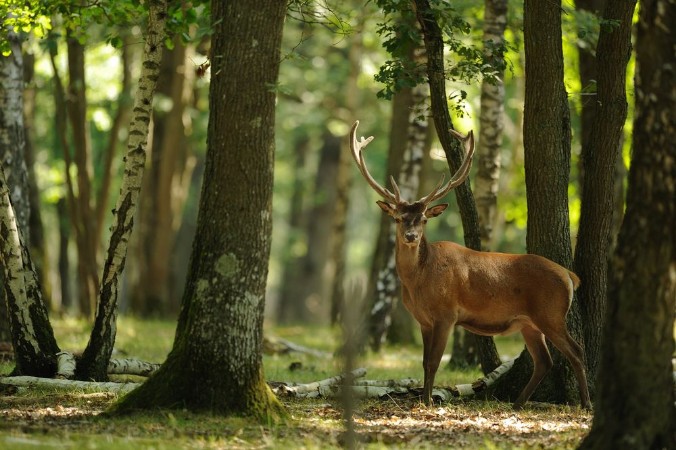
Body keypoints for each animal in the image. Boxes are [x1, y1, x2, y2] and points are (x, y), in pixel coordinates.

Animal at [350, 120, 591, 410]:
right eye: (398, 218)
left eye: (424, 219)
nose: (411, 236)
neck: (419, 281)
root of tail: (569, 275)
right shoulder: (423, 320)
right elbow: (424, 361)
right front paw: (424, 399)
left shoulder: (446, 313)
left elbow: (433, 362)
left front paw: (428, 402)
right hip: (529, 323)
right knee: (544, 360)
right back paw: (517, 403)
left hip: (551, 314)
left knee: (576, 351)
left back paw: (586, 403)